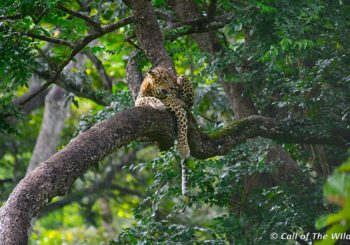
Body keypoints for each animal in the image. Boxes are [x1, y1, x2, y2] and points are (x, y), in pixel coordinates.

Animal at [135, 65, 194, 195]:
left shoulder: (179, 109)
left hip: (183, 78)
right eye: (165, 79)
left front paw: (183, 149)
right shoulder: (139, 100)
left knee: (189, 104)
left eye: (172, 78)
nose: (174, 87)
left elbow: (183, 127)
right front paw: (159, 104)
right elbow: (149, 98)